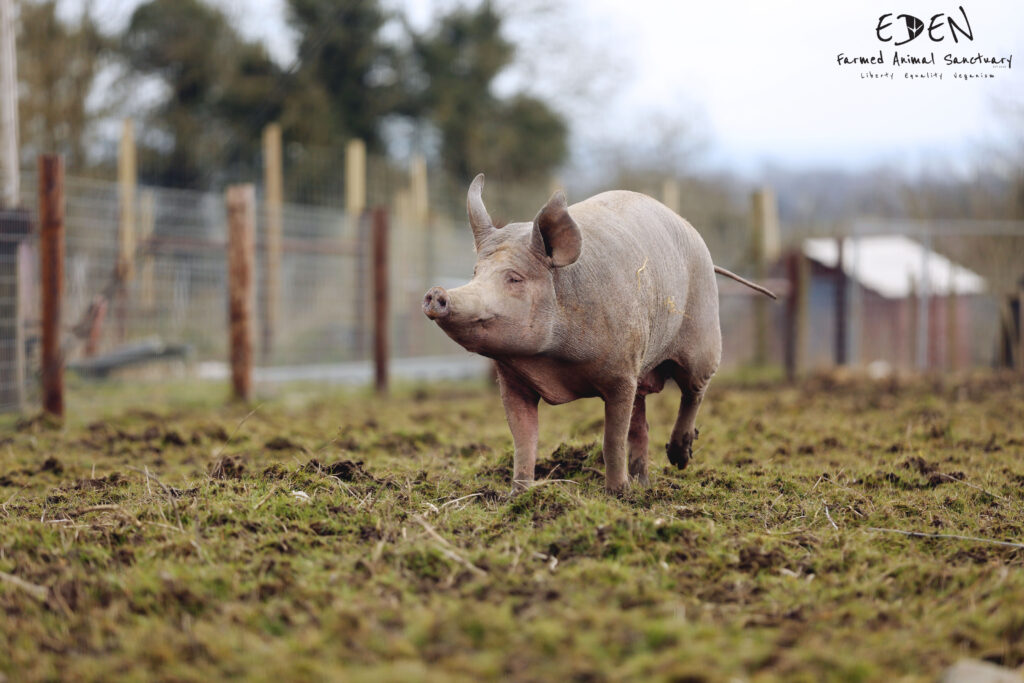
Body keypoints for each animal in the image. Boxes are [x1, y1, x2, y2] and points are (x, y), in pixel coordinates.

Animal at [423, 175, 775, 493]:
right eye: (476, 272)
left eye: (514, 278)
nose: (437, 293)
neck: (552, 363)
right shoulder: (513, 381)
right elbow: (524, 439)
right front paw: (519, 495)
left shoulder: (620, 372)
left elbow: (611, 439)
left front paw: (616, 493)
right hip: (642, 369)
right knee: (642, 423)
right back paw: (643, 485)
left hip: (703, 337)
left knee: (694, 390)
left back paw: (676, 461)